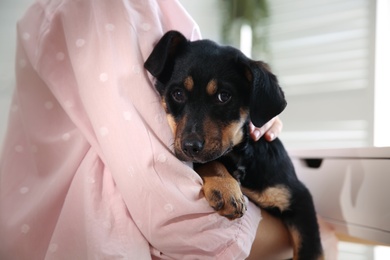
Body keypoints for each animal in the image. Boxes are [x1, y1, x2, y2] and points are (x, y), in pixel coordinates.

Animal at [145, 31, 322, 260]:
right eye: (177, 94)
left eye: (224, 96)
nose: (190, 147)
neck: (240, 159)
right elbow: (210, 161)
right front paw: (226, 188)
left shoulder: (299, 199)